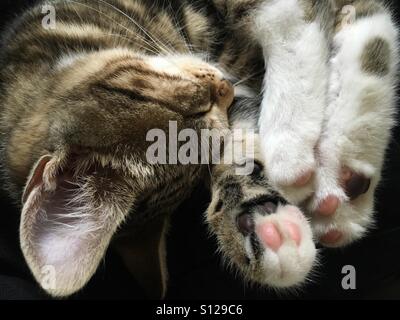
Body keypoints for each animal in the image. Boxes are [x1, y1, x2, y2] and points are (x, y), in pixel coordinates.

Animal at [0, 0, 396, 298]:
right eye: (200, 119)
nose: (223, 87)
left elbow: (288, 18)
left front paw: (288, 146)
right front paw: (263, 223)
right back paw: (342, 189)